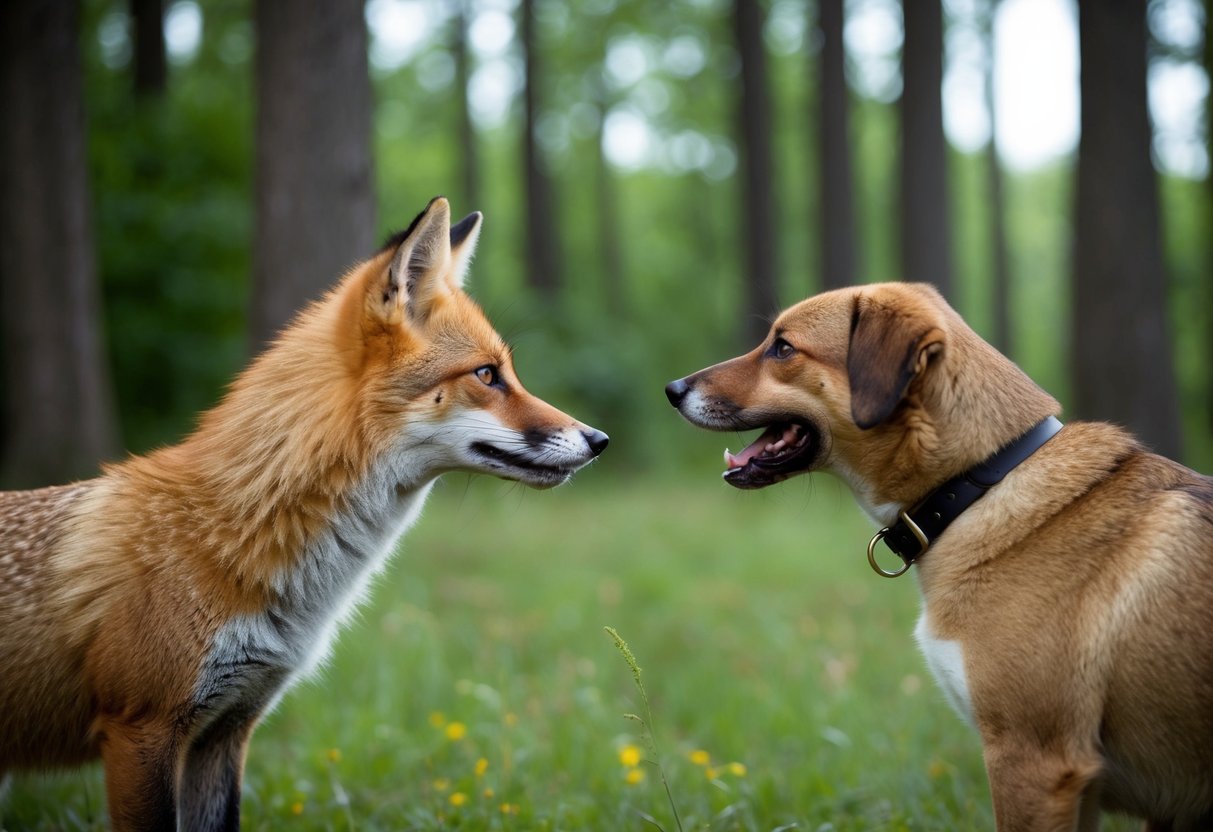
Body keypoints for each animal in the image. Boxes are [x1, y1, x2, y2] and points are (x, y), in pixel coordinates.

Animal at [0, 196, 608, 830]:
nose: (599, 439)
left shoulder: (228, 725)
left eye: (505, 372)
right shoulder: (142, 727)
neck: (241, 532)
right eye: (487, 375)